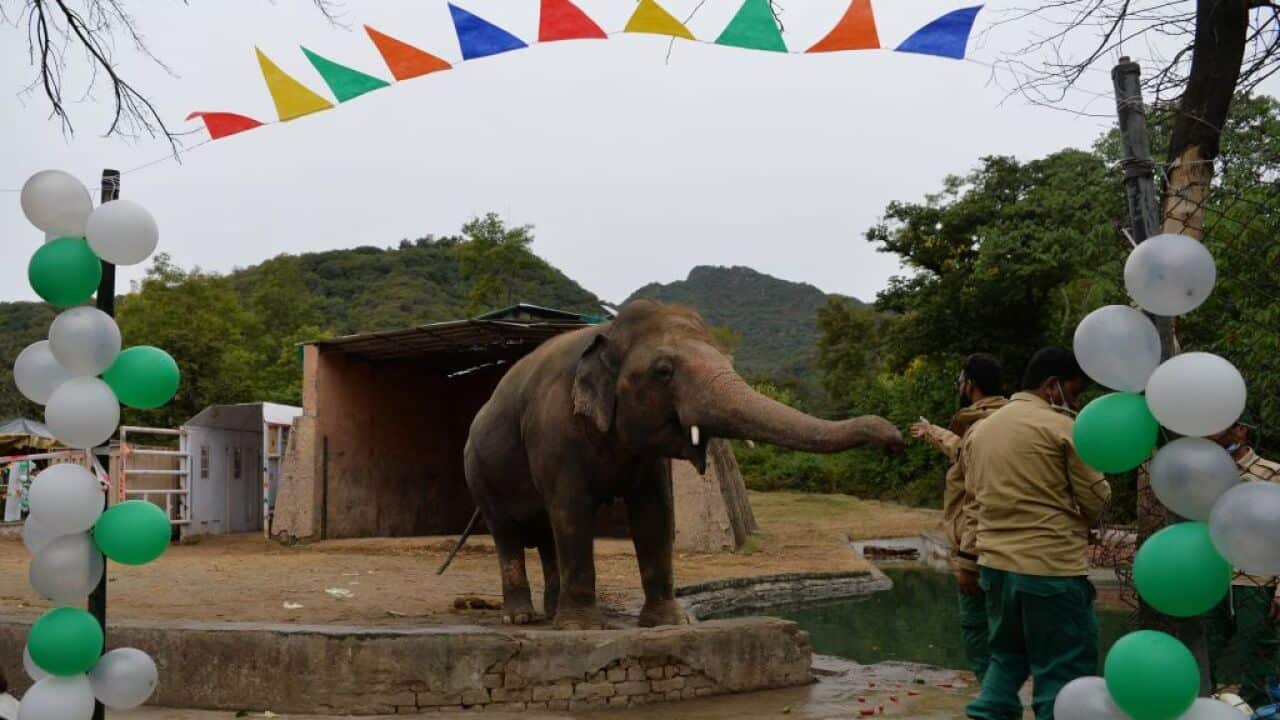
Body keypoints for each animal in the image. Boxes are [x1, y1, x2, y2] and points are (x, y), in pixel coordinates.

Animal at [462, 300, 904, 630]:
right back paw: (522, 618)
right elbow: (572, 510)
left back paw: (551, 613)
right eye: (663, 371)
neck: (607, 332)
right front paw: (583, 629)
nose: (894, 440)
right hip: (478, 474)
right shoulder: (553, 431)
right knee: (509, 533)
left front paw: (668, 624)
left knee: (545, 536)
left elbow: (655, 512)